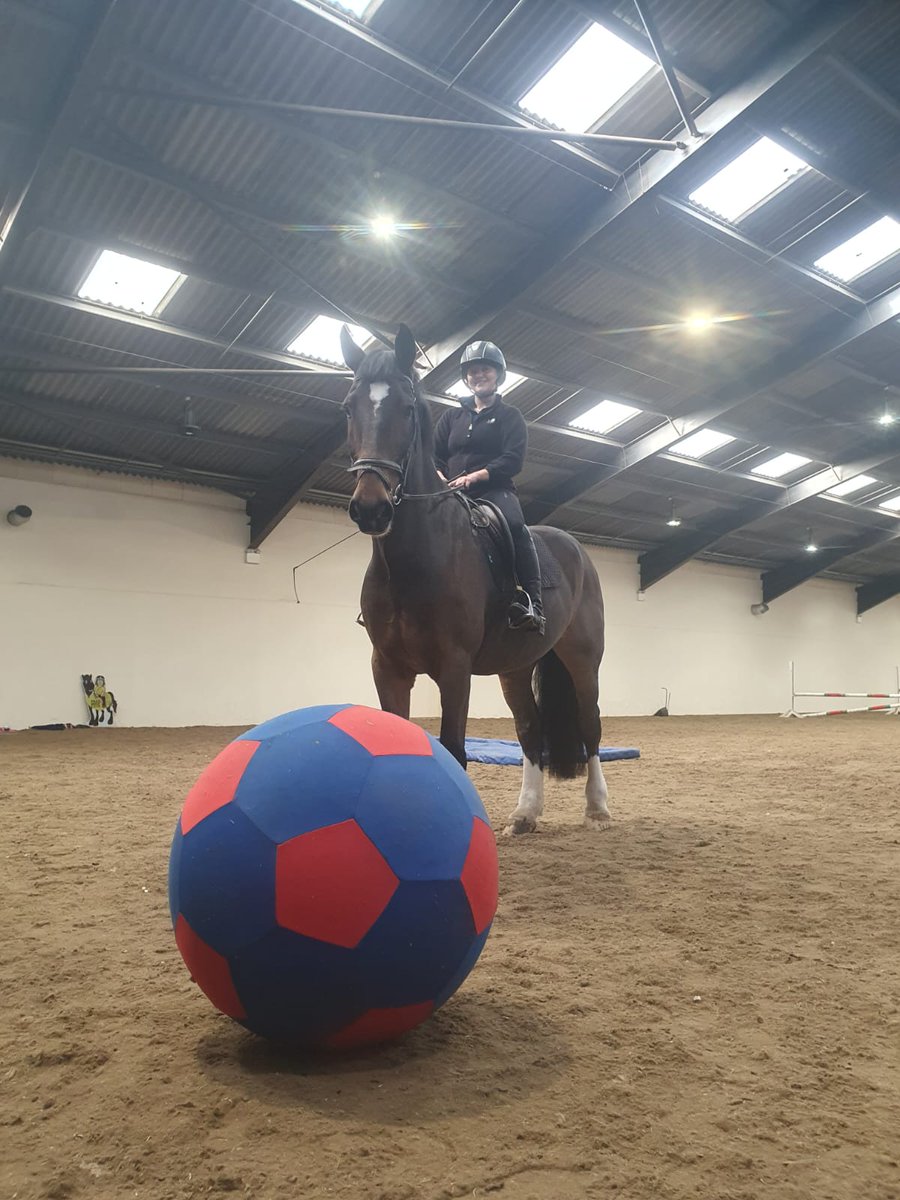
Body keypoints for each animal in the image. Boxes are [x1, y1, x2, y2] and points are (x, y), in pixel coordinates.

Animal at [340, 326, 614, 835]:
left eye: (407, 409)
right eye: (350, 407)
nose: (371, 508)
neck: (416, 555)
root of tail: (575, 548)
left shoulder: (454, 666)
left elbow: (453, 750)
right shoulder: (388, 666)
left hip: (583, 661)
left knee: (591, 725)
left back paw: (597, 809)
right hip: (515, 667)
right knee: (529, 730)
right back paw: (525, 815)